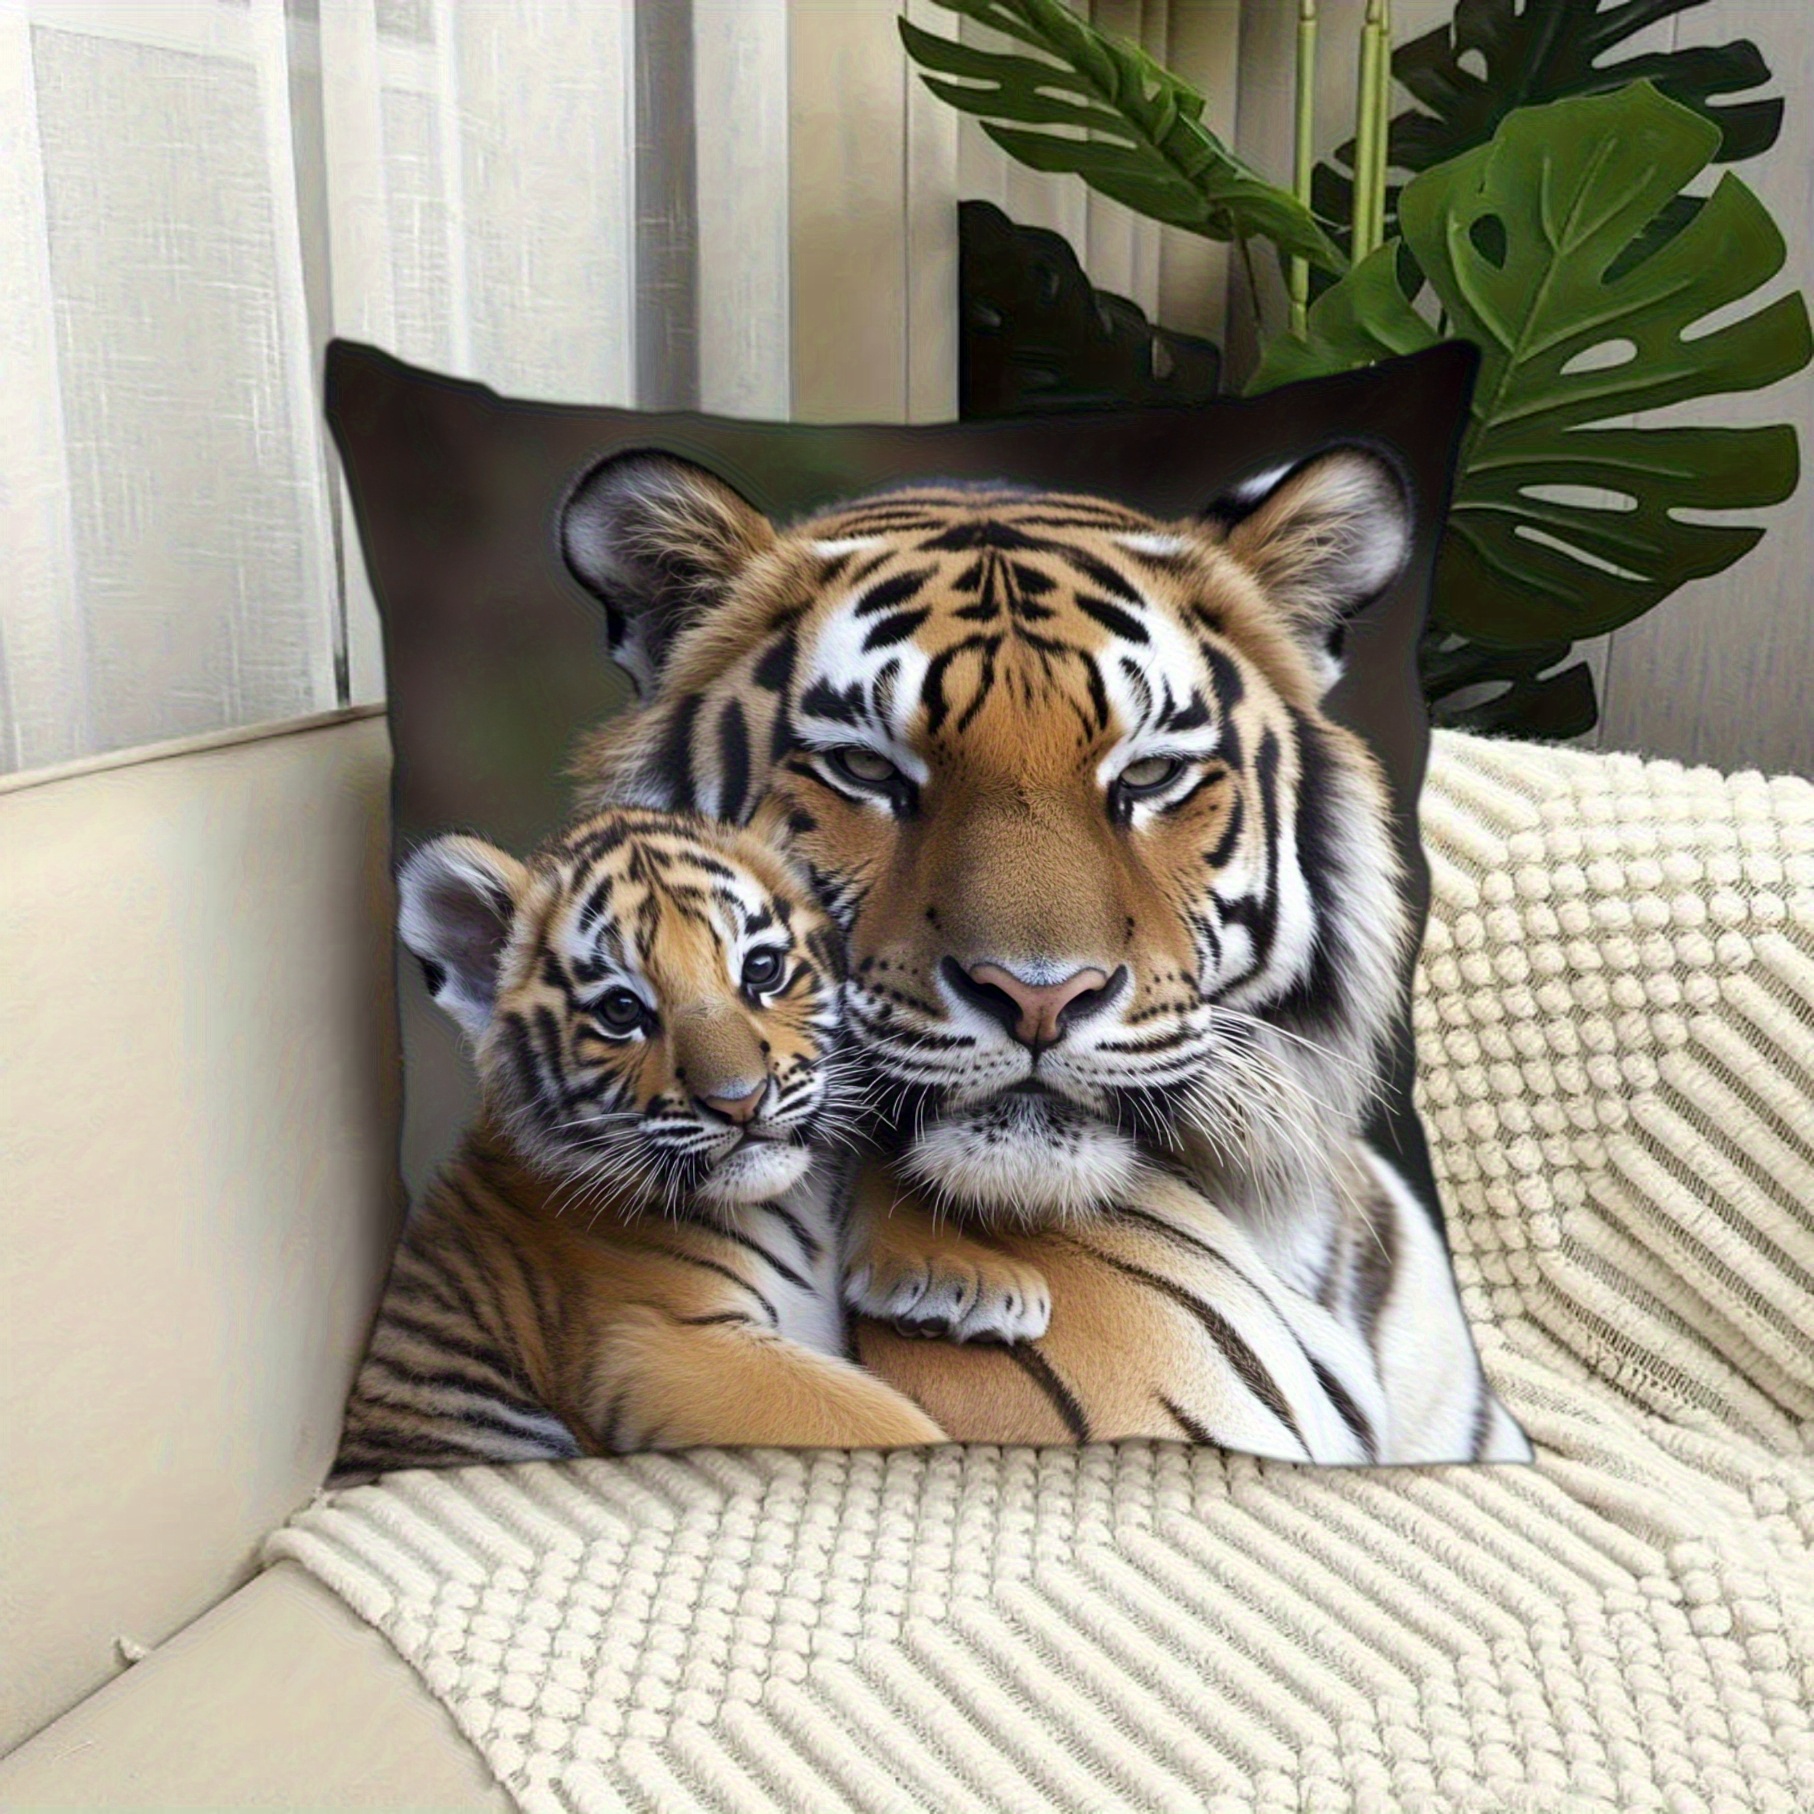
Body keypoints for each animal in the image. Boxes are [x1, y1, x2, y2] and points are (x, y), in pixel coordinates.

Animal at [331, 807, 949, 1483]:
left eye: (761, 970)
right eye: (621, 1009)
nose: (739, 1101)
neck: (795, 1203)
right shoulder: (656, 1344)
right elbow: (884, 1424)